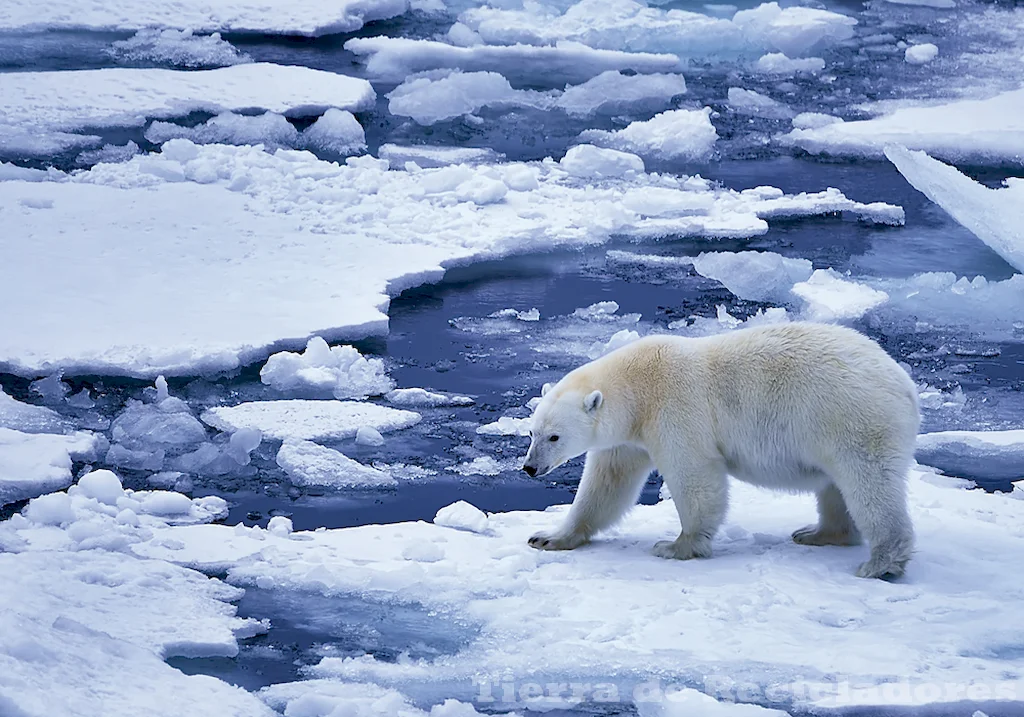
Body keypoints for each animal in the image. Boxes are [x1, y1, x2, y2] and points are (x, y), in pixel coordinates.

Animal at [524, 321, 917, 581]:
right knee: (834, 487)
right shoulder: (628, 437)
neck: (637, 387)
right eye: (531, 432)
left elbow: (695, 475)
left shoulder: (675, 407)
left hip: (851, 417)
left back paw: (880, 562)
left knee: (868, 483)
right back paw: (818, 533)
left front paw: (676, 546)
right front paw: (548, 537)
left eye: (554, 437)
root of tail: (905, 384)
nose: (529, 468)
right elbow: (606, 485)